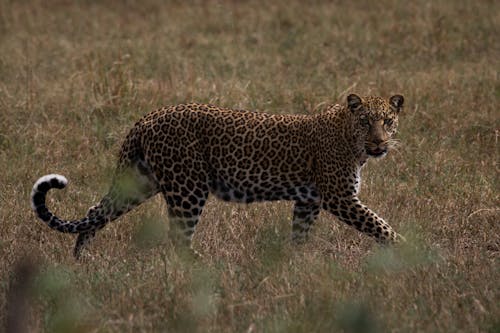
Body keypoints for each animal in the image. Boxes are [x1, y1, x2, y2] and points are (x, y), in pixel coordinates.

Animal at [30, 92, 406, 258]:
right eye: (365, 122)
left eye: (387, 121)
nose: (379, 143)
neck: (349, 138)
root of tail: (147, 118)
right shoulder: (339, 197)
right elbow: (381, 225)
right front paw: (410, 252)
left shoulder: (309, 200)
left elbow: (299, 235)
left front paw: (294, 263)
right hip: (187, 187)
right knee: (178, 238)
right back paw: (204, 268)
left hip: (140, 181)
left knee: (96, 211)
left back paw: (81, 259)